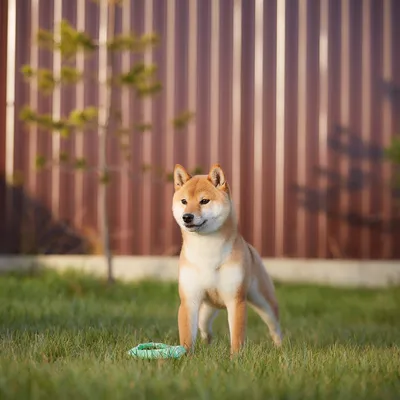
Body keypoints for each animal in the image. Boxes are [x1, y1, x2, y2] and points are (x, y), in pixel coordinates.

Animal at [172, 163, 282, 356]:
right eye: (184, 201)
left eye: (204, 201)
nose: (187, 216)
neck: (206, 252)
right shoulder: (189, 300)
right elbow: (186, 335)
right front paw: (185, 356)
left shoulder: (235, 300)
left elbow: (237, 336)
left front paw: (235, 358)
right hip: (206, 310)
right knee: (205, 329)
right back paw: (207, 342)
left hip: (264, 302)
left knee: (275, 327)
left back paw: (281, 348)